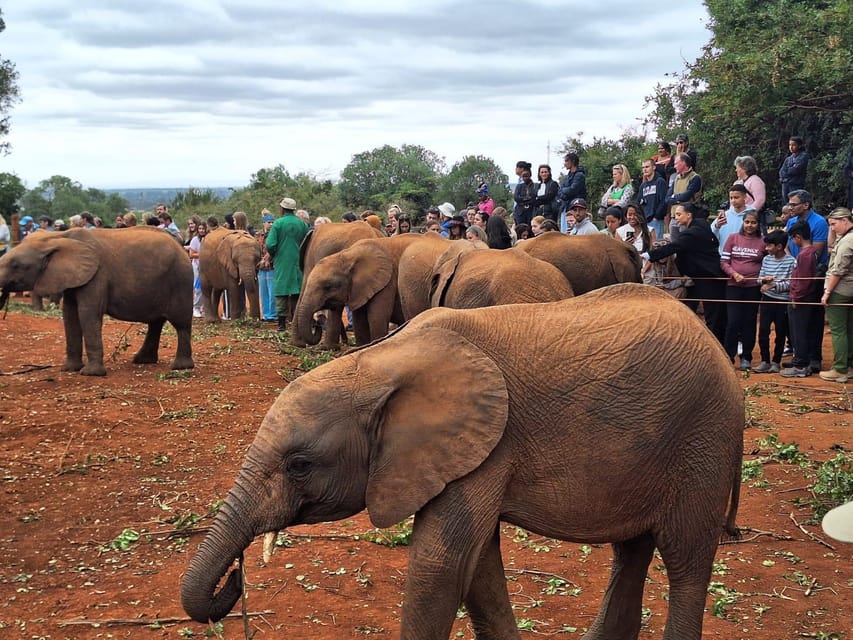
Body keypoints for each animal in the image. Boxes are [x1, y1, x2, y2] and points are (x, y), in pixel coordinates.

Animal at [0, 227, 194, 376]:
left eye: (16, 265)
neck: (58, 237)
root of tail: (181, 245)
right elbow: (69, 315)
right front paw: (69, 369)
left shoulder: (97, 276)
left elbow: (87, 313)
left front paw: (90, 374)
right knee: (156, 322)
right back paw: (142, 361)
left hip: (181, 279)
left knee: (181, 323)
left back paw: (180, 367)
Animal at [181, 283, 743, 640]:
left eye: (298, 465)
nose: (236, 580)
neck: (380, 361)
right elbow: (478, 569)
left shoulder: (487, 445)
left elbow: (441, 565)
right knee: (632, 552)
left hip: (704, 441)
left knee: (686, 561)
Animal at [294, 233, 426, 347]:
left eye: (328, 287)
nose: (317, 324)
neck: (348, 255)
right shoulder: (360, 289)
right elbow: (359, 320)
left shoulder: (387, 282)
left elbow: (377, 318)